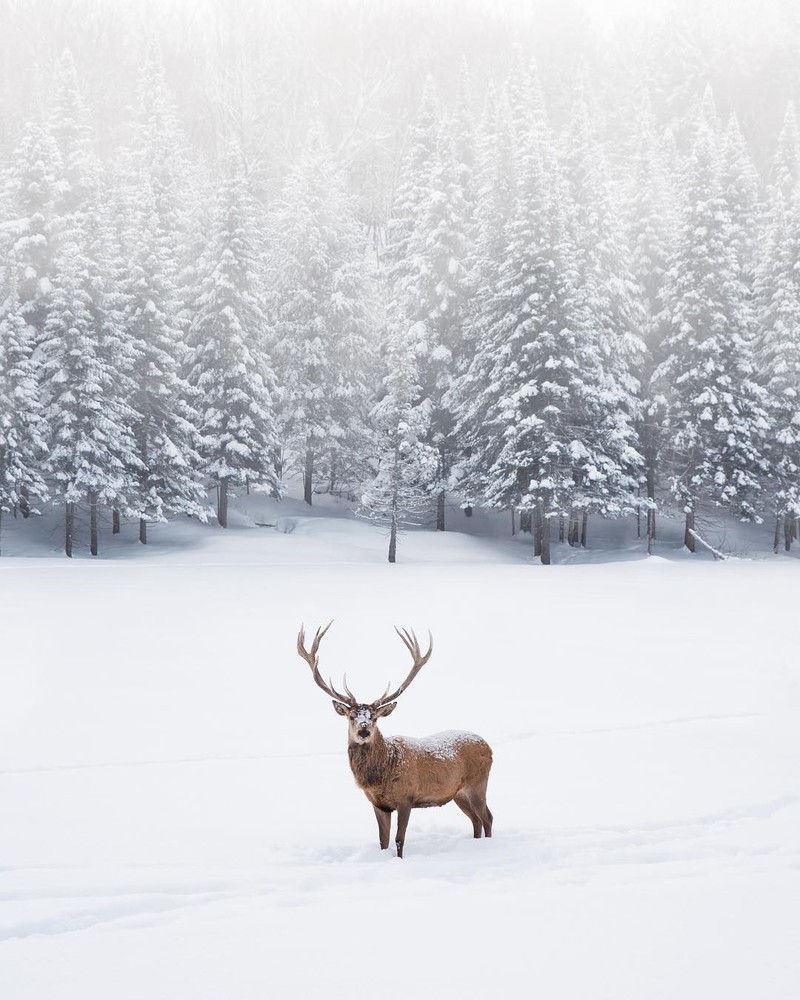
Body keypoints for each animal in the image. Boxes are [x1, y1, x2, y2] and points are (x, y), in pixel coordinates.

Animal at [296, 620, 490, 856]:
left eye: (374, 718)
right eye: (352, 716)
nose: (363, 730)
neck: (381, 775)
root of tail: (488, 746)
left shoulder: (407, 798)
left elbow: (399, 840)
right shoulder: (378, 805)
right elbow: (383, 841)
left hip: (478, 783)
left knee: (487, 818)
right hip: (458, 793)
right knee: (476, 820)